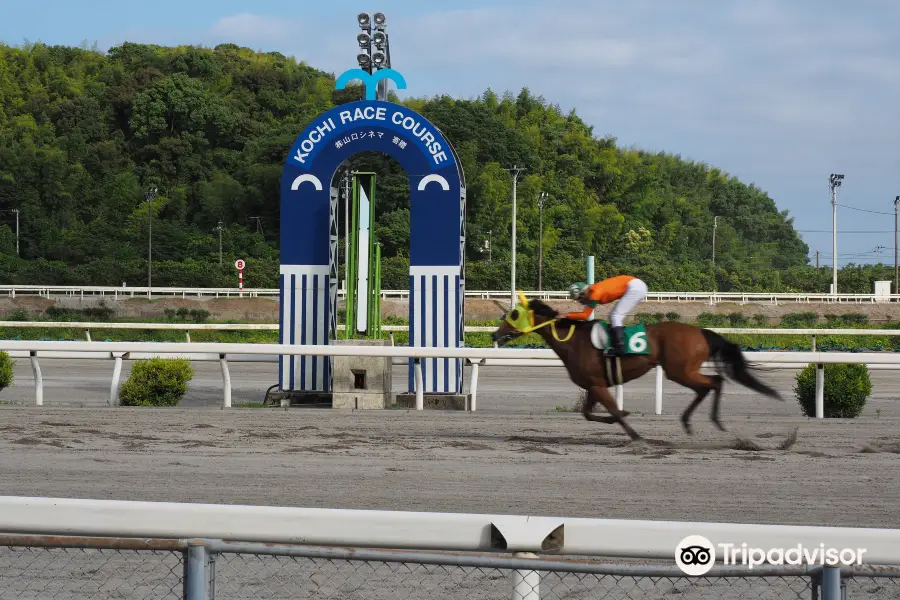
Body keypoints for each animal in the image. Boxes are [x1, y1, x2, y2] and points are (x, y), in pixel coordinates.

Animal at [492, 294, 780, 440]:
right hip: (681, 371)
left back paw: (715, 422)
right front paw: (621, 418)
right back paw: (688, 423)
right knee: (706, 387)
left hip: (679, 370)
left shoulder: (597, 384)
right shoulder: (593, 385)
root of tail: (701, 331)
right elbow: (589, 413)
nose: (495, 335)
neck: (573, 341)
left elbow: (612, 411)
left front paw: (636, 434)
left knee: (714, 383)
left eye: (513, 315)